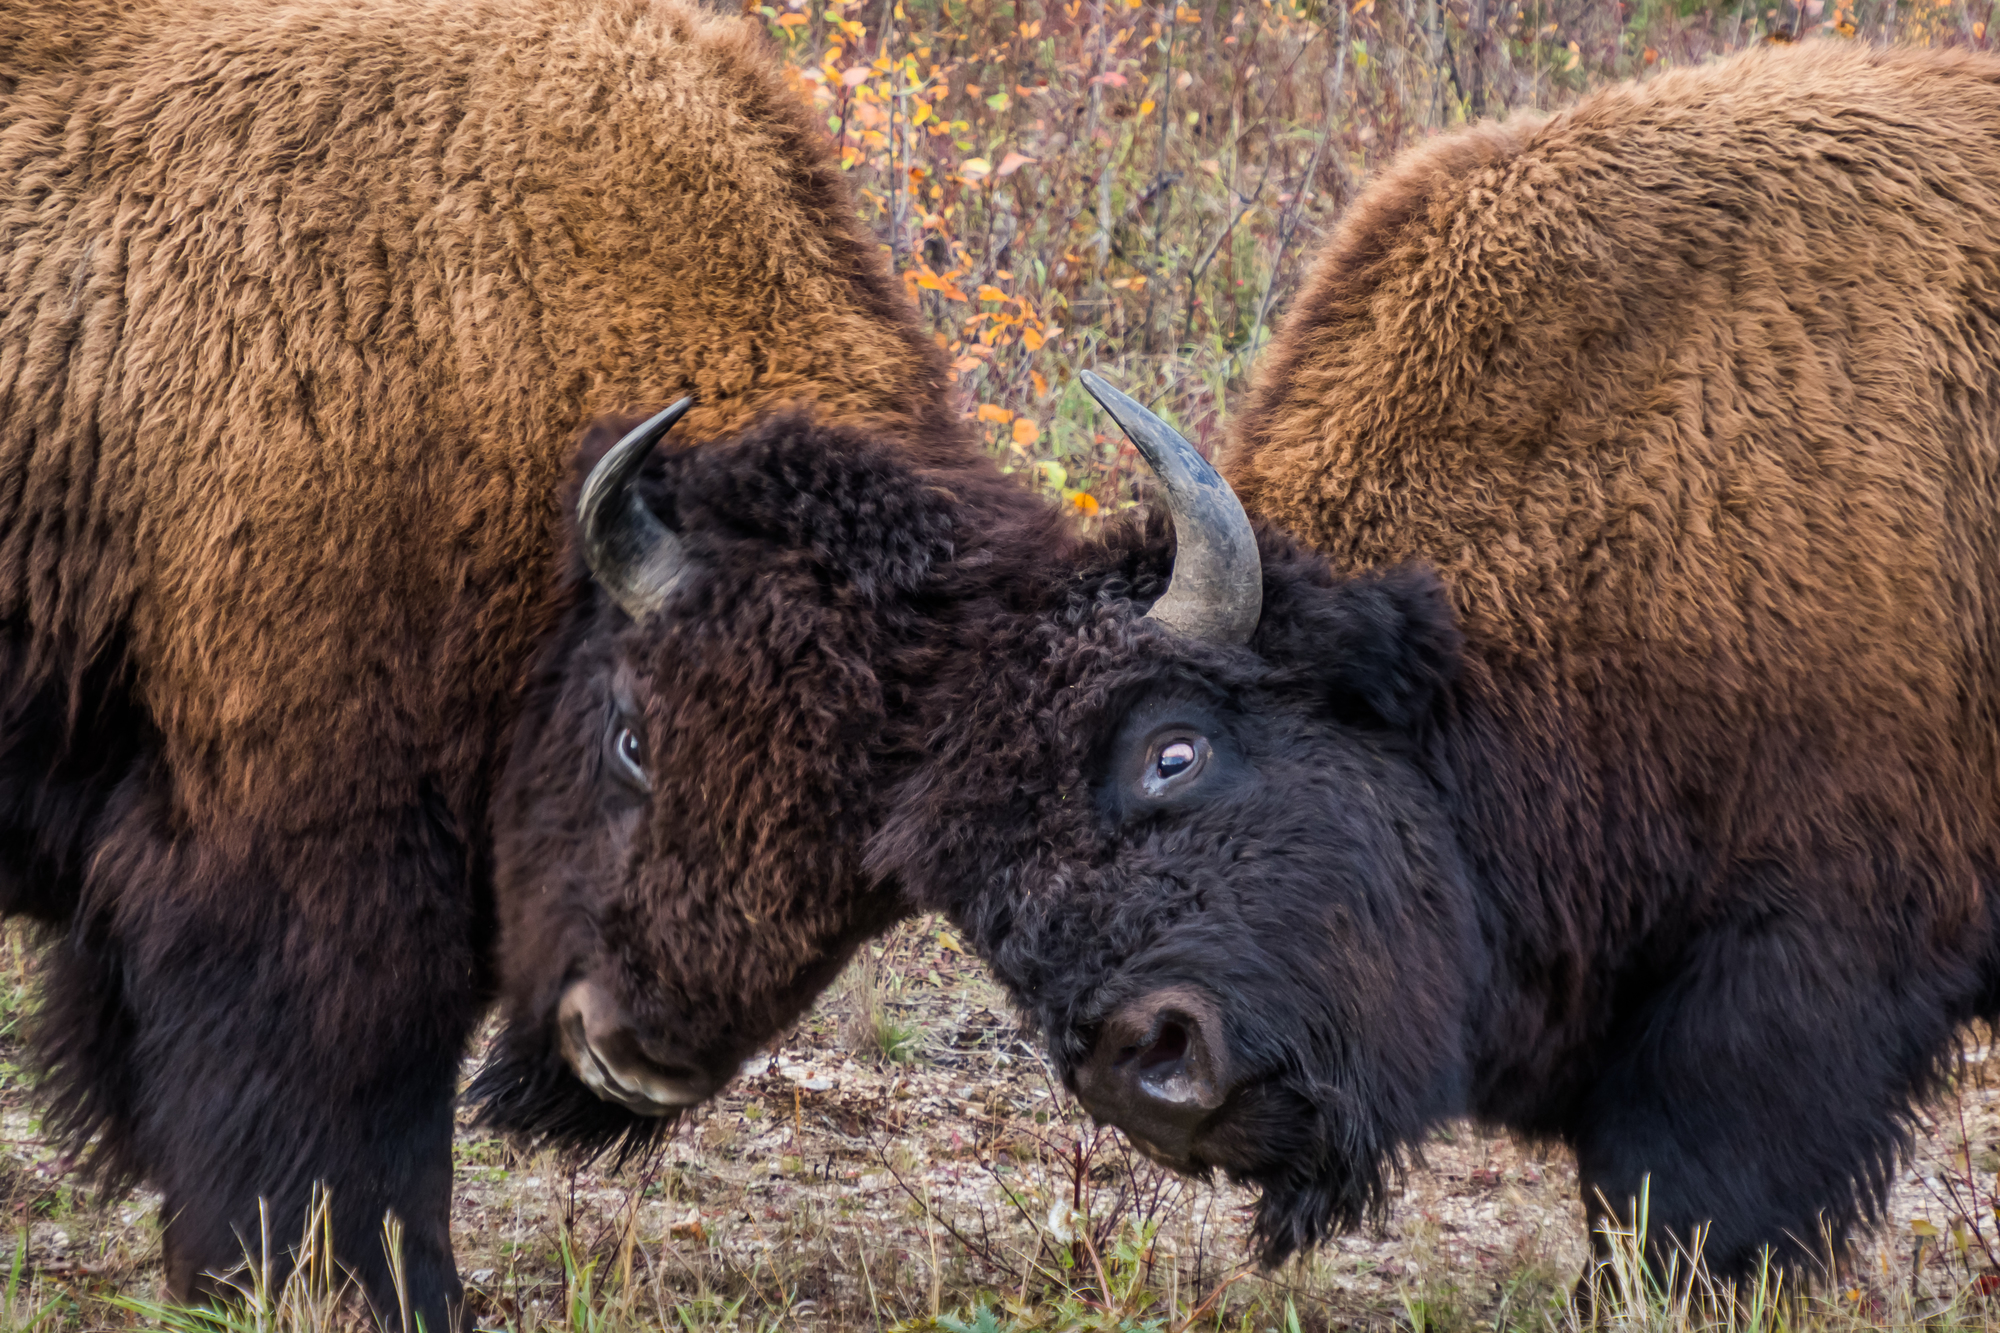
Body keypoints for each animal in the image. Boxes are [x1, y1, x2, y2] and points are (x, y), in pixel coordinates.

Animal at [0, 0, 1056, 1320]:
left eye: (873, 866)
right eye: (632, 736)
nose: (636, 1060)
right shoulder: (307, 844)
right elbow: (341, 1097)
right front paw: (366, 1288)